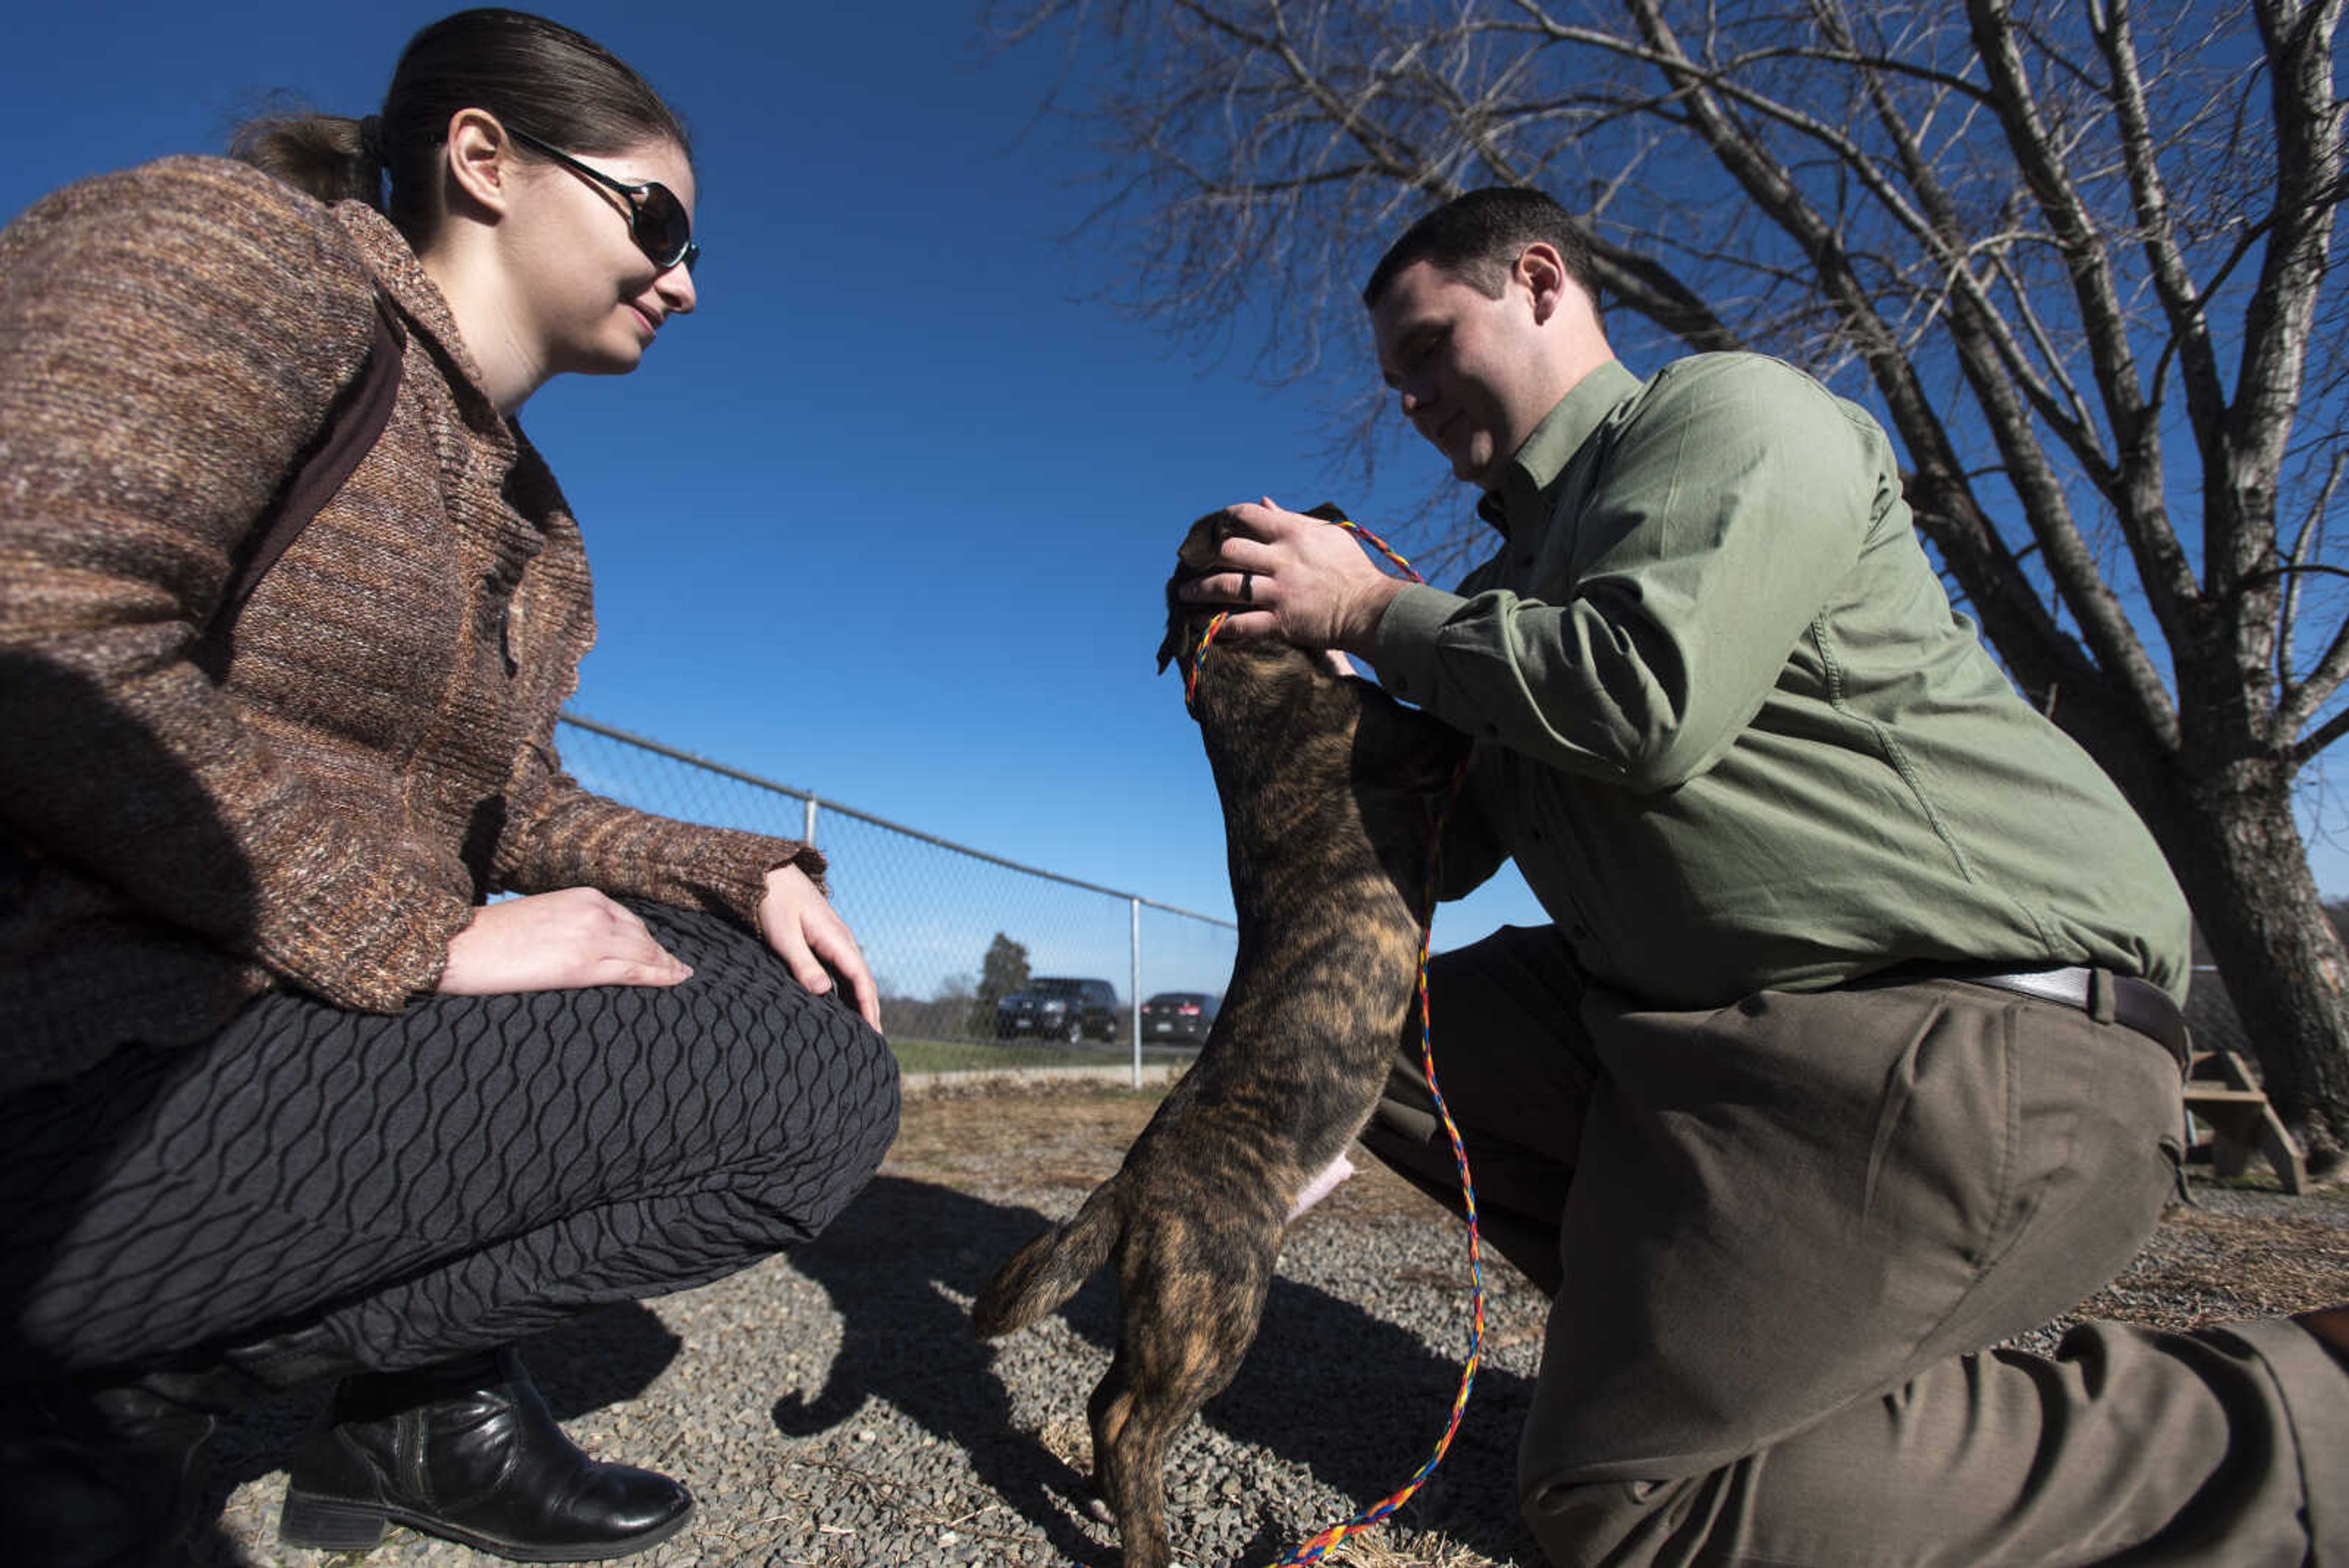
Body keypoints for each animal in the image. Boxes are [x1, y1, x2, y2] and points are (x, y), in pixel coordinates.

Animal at [972, 510, 1466, 1561]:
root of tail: (1127, 1186)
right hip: (1218, 1308)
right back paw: (1145, 1540)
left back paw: (1099, 1500)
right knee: (1131, 1420)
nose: (1330, 511)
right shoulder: (1434, 744)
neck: (1231, 660)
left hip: (1160, 1314)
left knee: (1106, 1398)